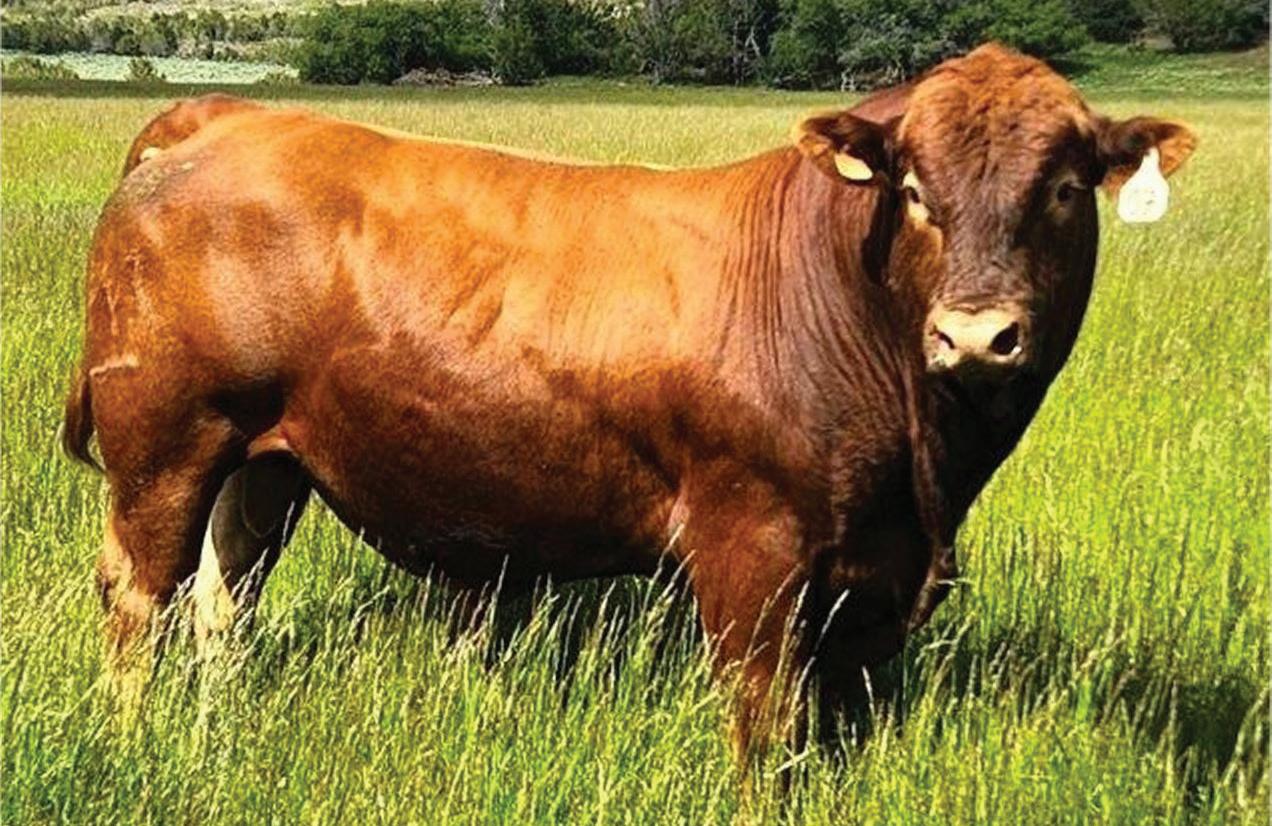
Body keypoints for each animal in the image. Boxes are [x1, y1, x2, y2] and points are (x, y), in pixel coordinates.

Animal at [63, 43, 1195, 755]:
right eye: (913, 188)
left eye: (1065, 187)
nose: (976, 334)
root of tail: (227, 115)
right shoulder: (752, 549)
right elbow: (764, 724)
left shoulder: (872, 583)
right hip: (164, 438)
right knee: (140, 596)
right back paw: (133, 742)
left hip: (262, 459)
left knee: (223, 596)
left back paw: (215, 731)